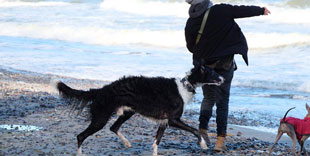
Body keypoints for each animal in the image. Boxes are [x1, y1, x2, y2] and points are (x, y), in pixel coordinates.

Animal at [54, 64, 224, 155]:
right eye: (213, 72)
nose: (223, 79)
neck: (185, 86)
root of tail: (102, 89)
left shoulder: (164, 122)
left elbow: (157, 141)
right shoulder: (173, 120)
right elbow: (195, 130)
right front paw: (203, 145)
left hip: (128, 112)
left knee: (113, 127)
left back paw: (127, 143)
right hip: (100, 118)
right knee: (80, 136)